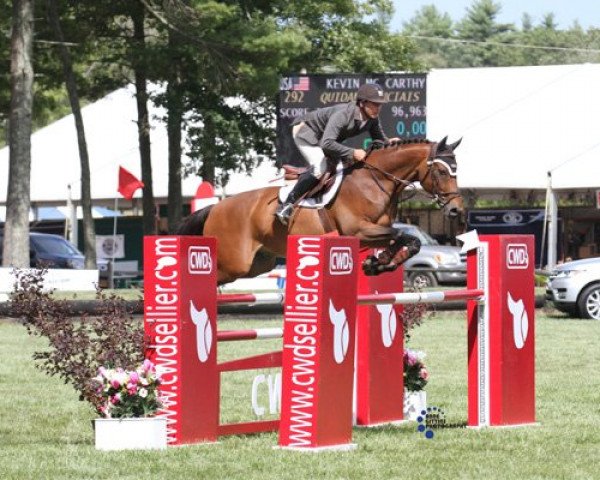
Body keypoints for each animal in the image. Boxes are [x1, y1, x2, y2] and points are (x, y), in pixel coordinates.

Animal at [176, 136, 466, 284]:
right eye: (442, 172)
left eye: (456, 170)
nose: (456, 210)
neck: (374, 181)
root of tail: (216, 207)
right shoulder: (359, 232)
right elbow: (406, 236)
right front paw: (380, 262)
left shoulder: (376, 231)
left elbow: (407, 240)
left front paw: (378, 263)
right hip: (235, 262)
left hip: (258, 264)